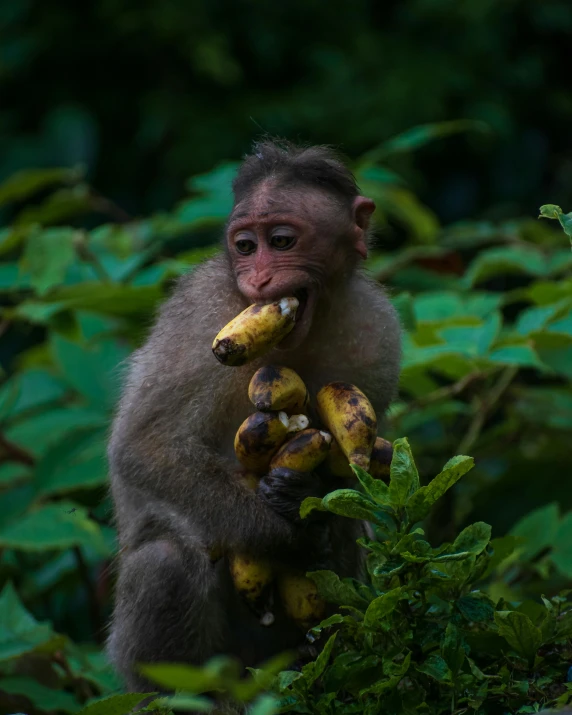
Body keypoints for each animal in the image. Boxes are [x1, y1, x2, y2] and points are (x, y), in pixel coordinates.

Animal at [107, 140, 402, 704]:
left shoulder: (376, 329)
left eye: (281, 241)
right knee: (167, 559)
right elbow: (146, 447)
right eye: (245, 247)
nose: (260, 279)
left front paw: (302, 495)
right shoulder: (203, 315)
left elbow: (354, 478)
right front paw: (286, 533)